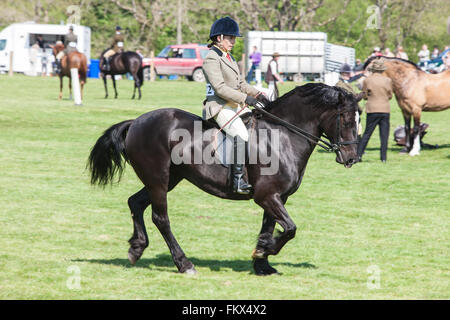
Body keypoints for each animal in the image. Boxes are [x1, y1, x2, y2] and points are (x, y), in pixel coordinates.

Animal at [88, 83, 360, 276]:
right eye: (346, 120)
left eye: (359, 119)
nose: (352, 158)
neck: (283, 136)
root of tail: (136, 122)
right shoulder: (266, 196)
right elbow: (290, 229)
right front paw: (265, 250)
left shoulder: (276, 197)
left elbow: (270, 227)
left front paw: (262, 261)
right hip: (158, 180)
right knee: (160, 218)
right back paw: (184, 264)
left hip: (168, 179)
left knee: (135, 203)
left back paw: (136, 249)